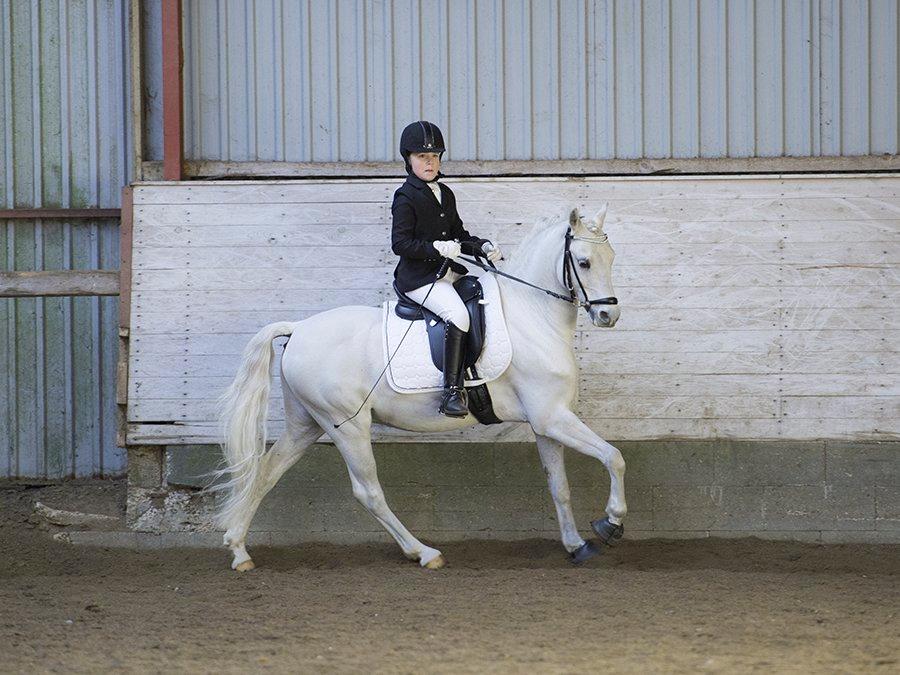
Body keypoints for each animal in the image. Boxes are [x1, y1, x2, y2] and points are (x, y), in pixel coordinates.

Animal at [214, 205, 626, 571]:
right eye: (584, 262)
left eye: (611, 257)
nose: (608, 315)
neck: (532, 314)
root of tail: (298, 328)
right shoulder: (552, 417)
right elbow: (614, 457)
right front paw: (610, 523)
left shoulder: (546, 423)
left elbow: (560, 486)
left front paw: (576, 545)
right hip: (346, 425)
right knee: (368, 492)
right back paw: (424, 553)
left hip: (308, 423)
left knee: (266, 472)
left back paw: (239, 551)